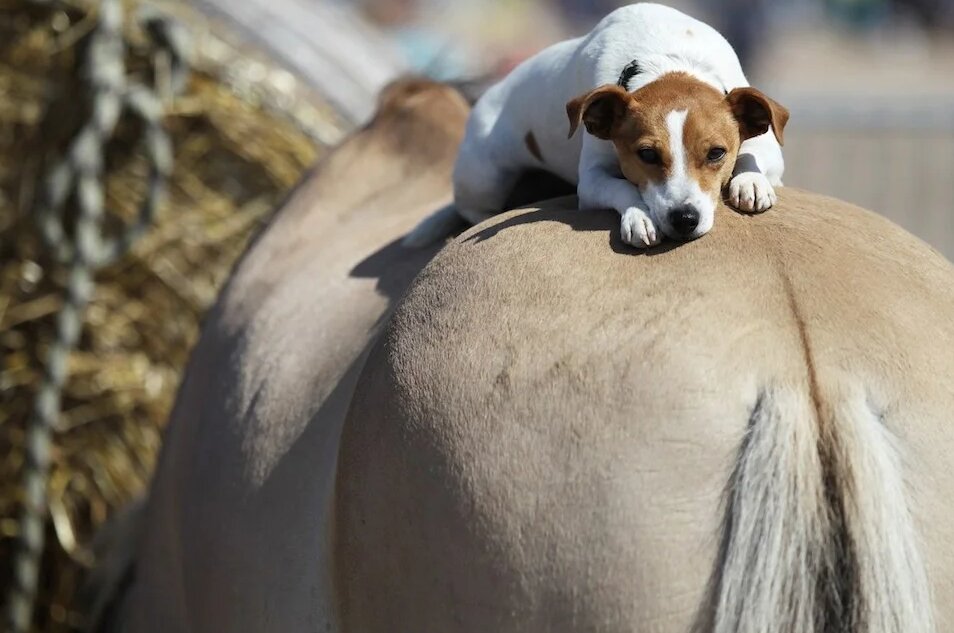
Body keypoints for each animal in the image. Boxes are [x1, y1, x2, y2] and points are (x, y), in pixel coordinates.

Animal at [402, 3, 788, 249]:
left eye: (717, 153)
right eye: (647, 154)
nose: (684, 218)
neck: (666, 59)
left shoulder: (766, 142)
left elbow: (754, 155)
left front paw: (751, 182)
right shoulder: (591, 180)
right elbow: (621, 187)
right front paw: (638, 217)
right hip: (485, 177)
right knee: (473, 208)